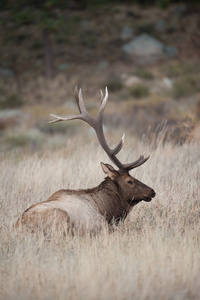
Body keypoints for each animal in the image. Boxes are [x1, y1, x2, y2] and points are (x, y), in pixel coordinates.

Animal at [16, 88, 156, 236]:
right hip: (62, 217)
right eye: (130, 181)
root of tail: (19, 225)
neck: (108, 209)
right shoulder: (102, 227)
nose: (152, 191)